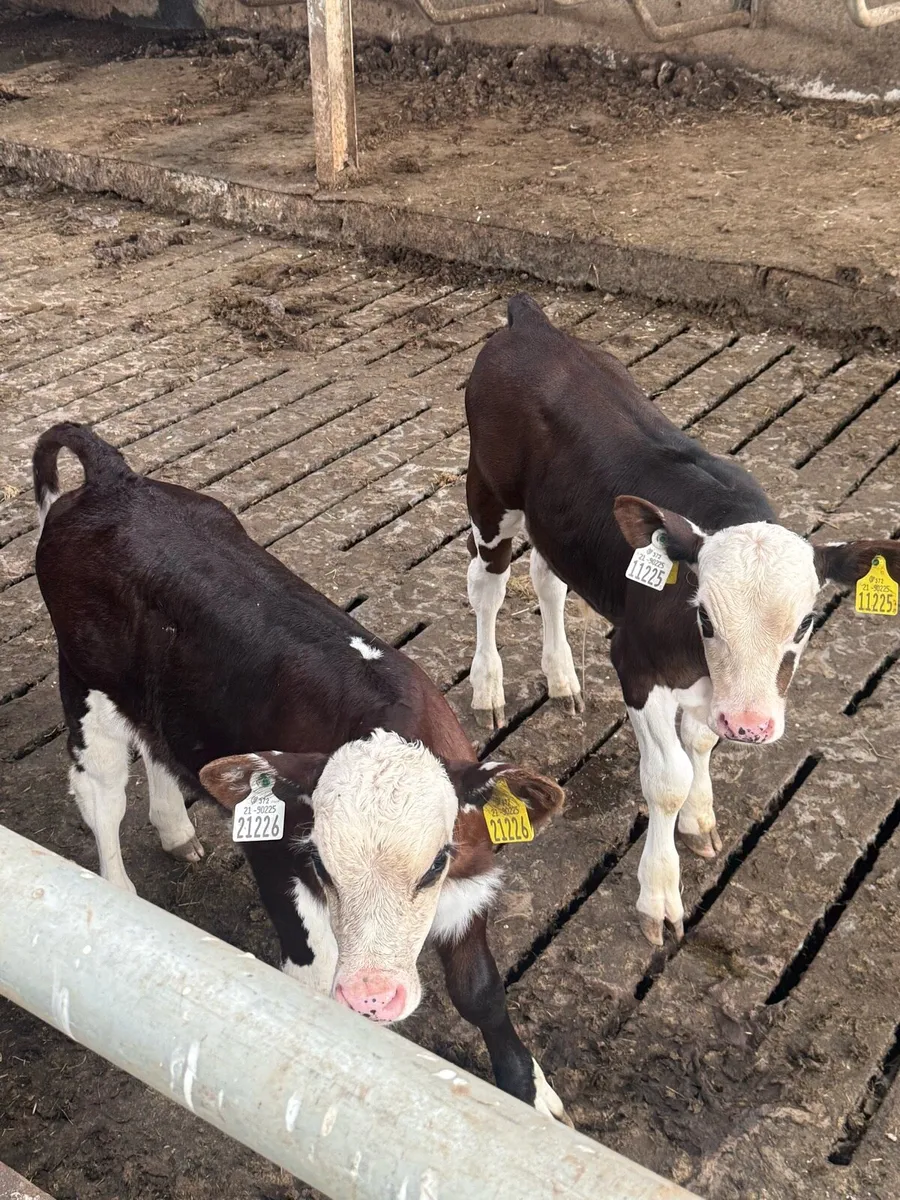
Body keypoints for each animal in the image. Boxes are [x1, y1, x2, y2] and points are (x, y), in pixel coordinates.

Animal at [32, 421, 569, 1122]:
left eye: (434, 862)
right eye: (321, 862)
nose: (374, 996)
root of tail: (112, 479)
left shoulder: (469, 879)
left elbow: (480, 991)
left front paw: (533, 1095)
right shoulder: (278, 865)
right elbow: (314, 993)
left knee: (156, 750)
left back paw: (177, 830)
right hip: (85, 687)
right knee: (102, 799)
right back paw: (121, 898)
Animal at [463, 294, 900, 947]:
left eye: (802, 625)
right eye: (707, 619)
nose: (752, 727)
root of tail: (531, 324)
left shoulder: (711, 694)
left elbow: (699, 743)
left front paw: (700, 816)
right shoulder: (637, 667)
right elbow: (665, 779)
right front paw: (660, 893)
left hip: (555, 522)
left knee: (548, 578)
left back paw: (563, 679)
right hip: (487, 496)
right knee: (487, 586)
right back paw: (487, 687)